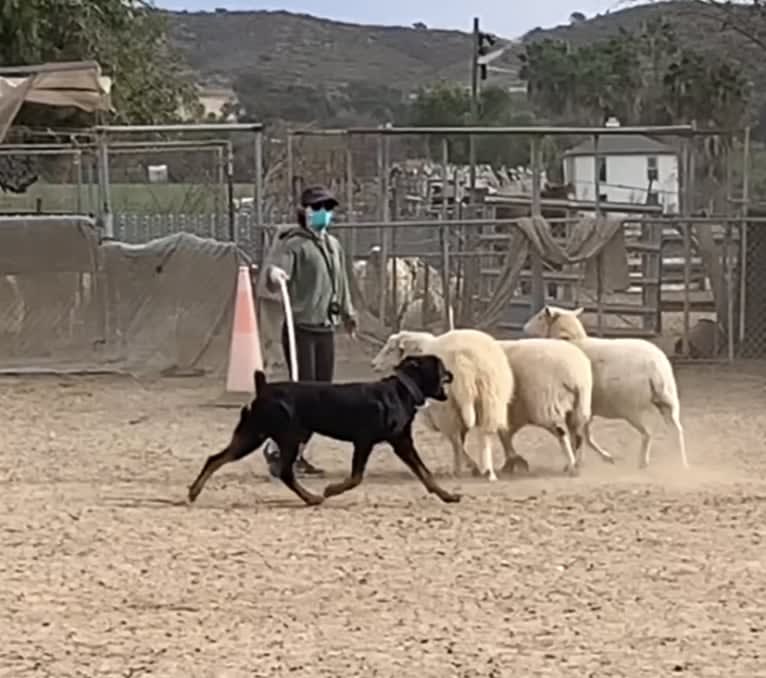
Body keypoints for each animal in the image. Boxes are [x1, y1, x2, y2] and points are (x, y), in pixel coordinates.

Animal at [374, 330, 516, 480]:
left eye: (390, 350)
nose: (373, 364)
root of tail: (462, 359)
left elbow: (458, 440)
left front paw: (469, 466)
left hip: (446, 408)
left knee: (455, 441)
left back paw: (458, 470)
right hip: (490, 400)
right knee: (484, 436)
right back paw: (488, 472)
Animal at [500, 338, 616, 476]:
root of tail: (574, 374)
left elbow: (504, 434)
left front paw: (512, 462)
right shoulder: (517, 413)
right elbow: (506, 434)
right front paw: (514, 462)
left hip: (546, 406)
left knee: (562, 433)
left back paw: (572, 465)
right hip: (579, 404)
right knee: (577, 434)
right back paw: (576, 463)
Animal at [524, 306, 692, 470]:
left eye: (540, 316)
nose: (525, 328)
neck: (573, 341)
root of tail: (655, 367)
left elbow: (580, 436)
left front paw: (578, 462)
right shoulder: (587, 410)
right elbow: (585, 436)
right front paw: (598, 458)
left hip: (631, 409)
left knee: (648, 432)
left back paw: (643, 462)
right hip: (668, 400)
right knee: (676, 430)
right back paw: (681, 462)